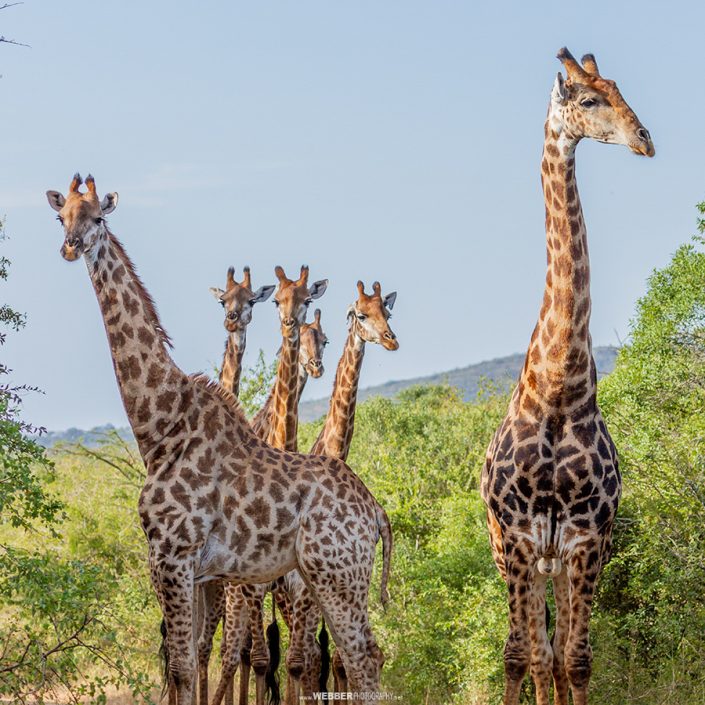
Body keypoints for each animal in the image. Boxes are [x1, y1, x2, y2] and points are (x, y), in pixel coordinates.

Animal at [46, 172, 394, 704]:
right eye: (62, 215)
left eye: (99, 217)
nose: (70, 245)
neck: (160, 427)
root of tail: (375, 511)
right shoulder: (197, 570)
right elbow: (187, 663)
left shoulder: (173, 555)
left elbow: (185, 666)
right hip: (324, 578)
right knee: (356, 658)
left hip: (336, 576)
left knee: (359, 658)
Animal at [478, 49, 656, 704]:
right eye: (587, 99)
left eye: (620, 90)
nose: (644, 139)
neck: (557, 390)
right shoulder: (521, 540)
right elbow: (524, 656)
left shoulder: (585, 539)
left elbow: (575, 661)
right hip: (510, 553)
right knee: (526, 652)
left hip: (561, 562)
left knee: (554, 655)